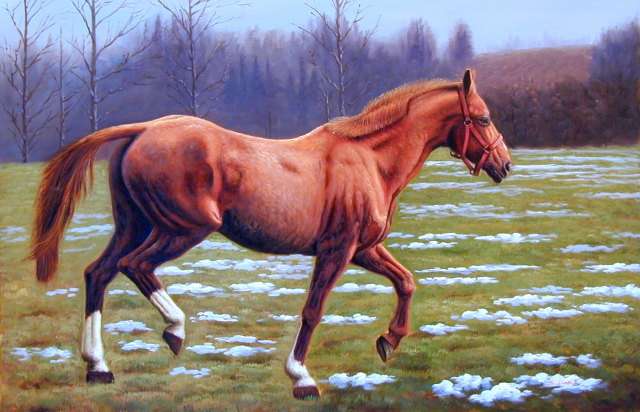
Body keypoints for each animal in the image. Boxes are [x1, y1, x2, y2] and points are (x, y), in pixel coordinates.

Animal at [30, 69, 512, 399]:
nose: (504, 165)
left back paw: (98, 367)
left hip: (135, 225)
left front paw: (388, 341)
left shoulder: (365, 249)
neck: (370, 161)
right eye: (484, 118)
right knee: (135, 267)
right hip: (182, 228)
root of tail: (145, 129)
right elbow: (313, 310)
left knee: (99, 274)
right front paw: (302, 378)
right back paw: (174, 331)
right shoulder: (337, 251)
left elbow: (407, 282)